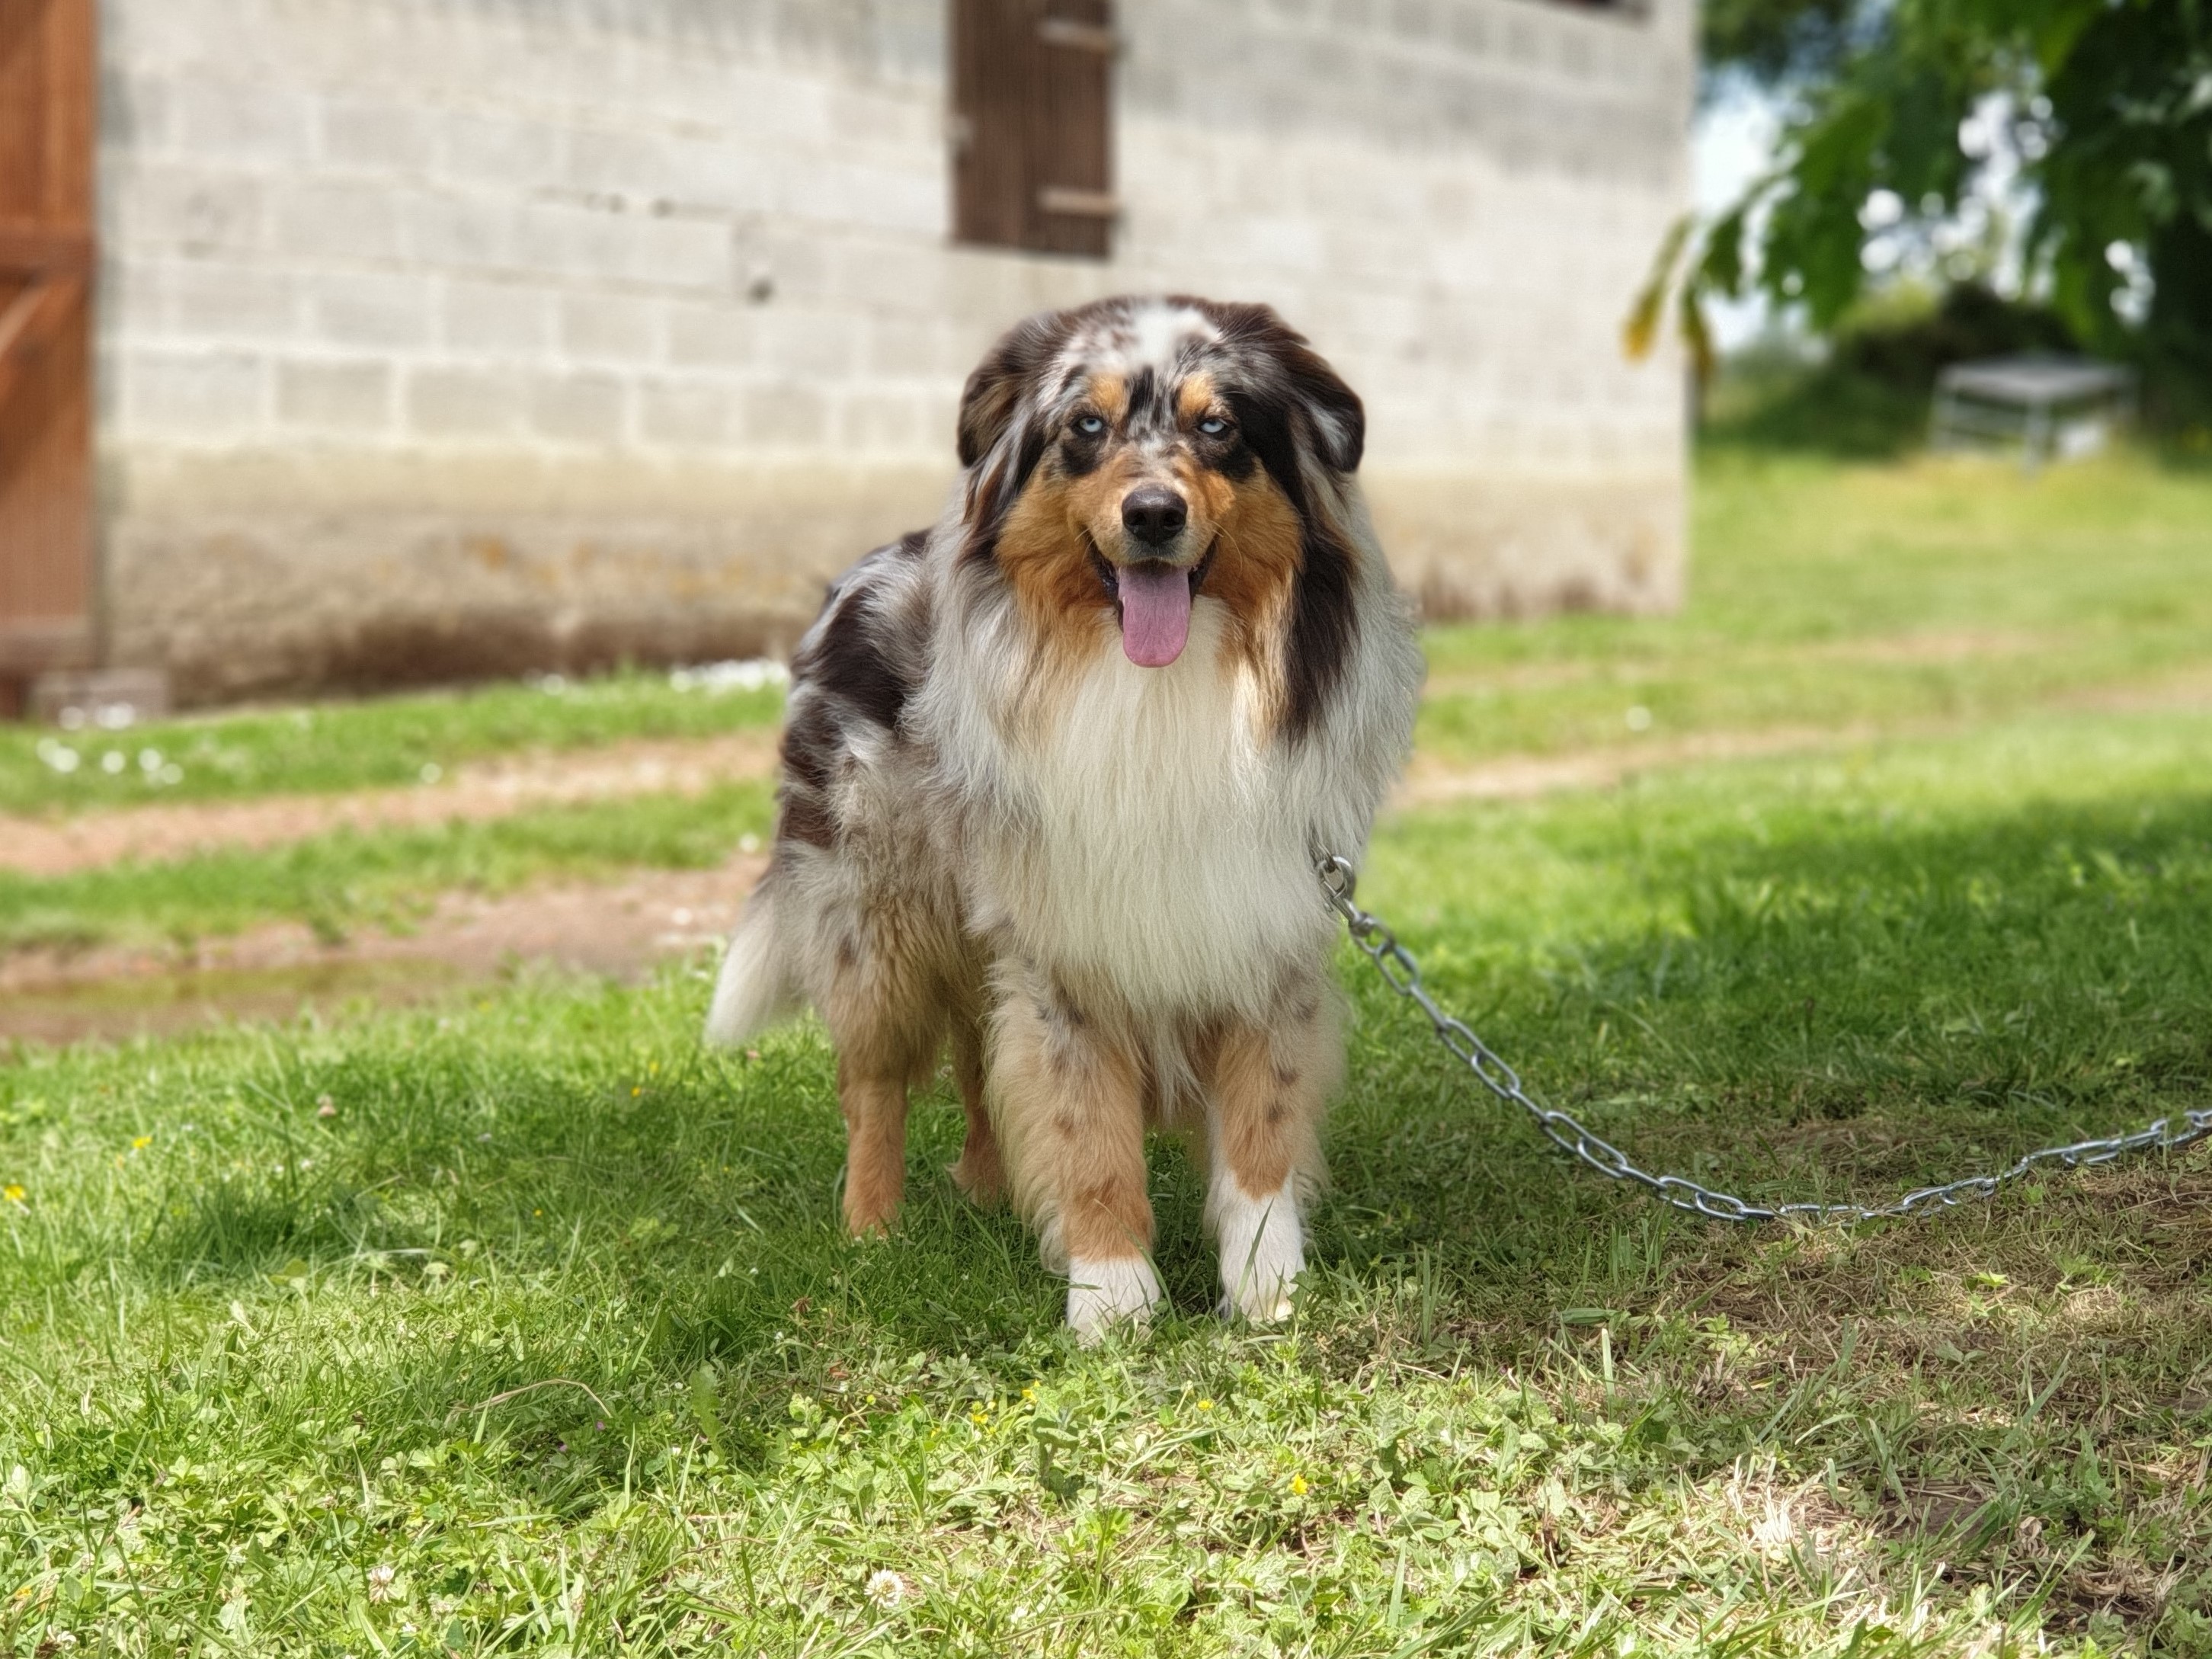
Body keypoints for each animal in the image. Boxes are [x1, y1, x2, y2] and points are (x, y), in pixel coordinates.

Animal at [712, 296, 1433, 1336]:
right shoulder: (1064, 946)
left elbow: (1261, 1128)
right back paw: (871, 1233)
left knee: (976, 1058)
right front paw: (1111, 1296)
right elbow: (1083, 1126)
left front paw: (1267, 1288)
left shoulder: (1264, 931)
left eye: (1219, 427)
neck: (1163, 686)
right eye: (1084, 426)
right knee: (874, 1080)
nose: (1153, 514)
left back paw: (987, 1188)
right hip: (877, 917)